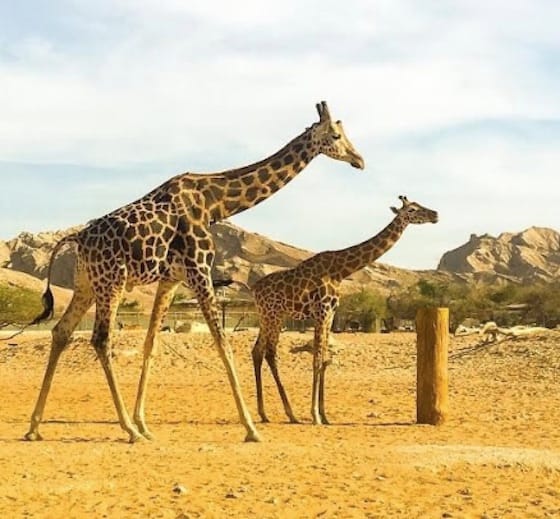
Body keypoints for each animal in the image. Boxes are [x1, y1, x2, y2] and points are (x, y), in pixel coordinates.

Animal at [25, 100, 364, 442]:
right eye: (336, 136)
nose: (359, 160)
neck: (215, 202)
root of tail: (77, 238)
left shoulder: (171, 279)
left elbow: (151, 344)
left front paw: (145, 423)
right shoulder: (199, 269)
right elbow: (223, 344)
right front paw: (251, 428)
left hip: (87, 284)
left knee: (61, 331)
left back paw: (35, 426)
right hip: (112, 281)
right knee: (100, 339)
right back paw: (127, 430)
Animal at [249, 195, 438, 426]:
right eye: (412, 210)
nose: (435, 215)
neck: (340, 271)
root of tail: (254, 289)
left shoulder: (330, 314)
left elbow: (324, 360)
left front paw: (325, 415)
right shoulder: (321, 312)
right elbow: (317, 360)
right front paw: (315, 415)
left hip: (267, 317)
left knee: (257, 351)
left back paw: (264, 413)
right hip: (273, 315)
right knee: (269, 352)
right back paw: (290, 413)